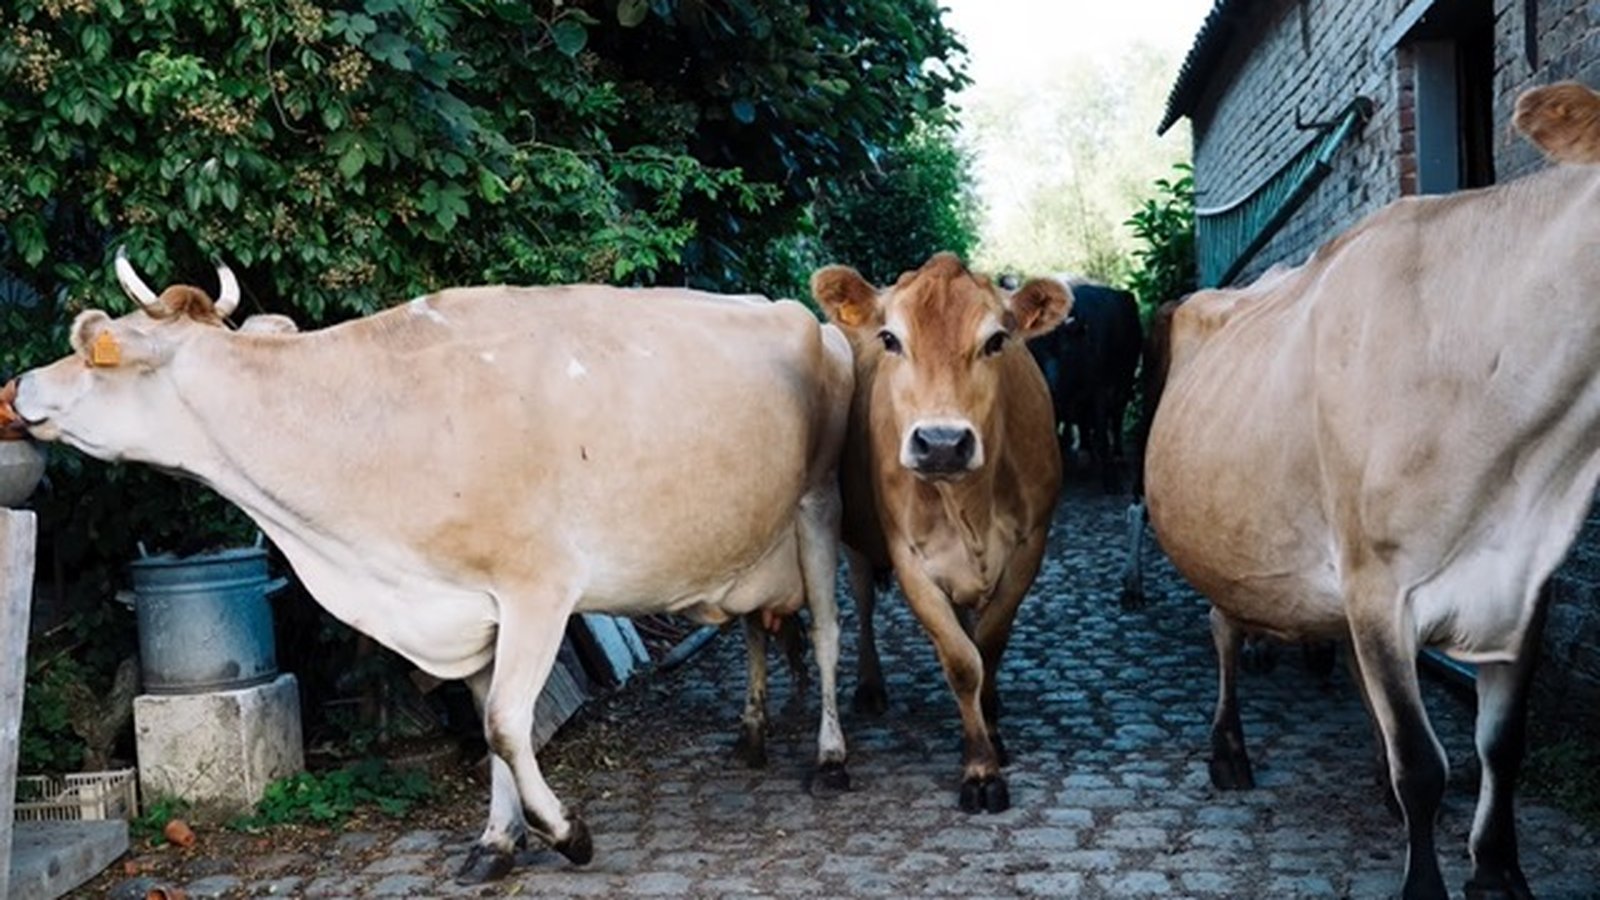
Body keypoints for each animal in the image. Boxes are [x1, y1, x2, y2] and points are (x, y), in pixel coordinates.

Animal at [0, 251, 855, 884]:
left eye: (92, 343)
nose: (15, 387)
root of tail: (805, 318)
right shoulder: (467, 604)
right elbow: (490, 726)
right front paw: (496, 843)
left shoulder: (539, 588)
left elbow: (507, 722)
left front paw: (566, 833)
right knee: (756, 630)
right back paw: (751, 734)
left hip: (818, 508)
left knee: (826, 636)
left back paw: (830, 758)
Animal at [814, 253, 1066, 813]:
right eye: (890, 339)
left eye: (996, 340)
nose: (943, 442)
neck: (969, 504)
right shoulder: (910, 560)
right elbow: (961, 661)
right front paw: (980, 770)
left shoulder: (1029, 547)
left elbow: (988, 645)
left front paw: (991, 730)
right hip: (855, 540)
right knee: (864, 602)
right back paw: (870, 687)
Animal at [1028, 282, 1142, 493]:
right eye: (1034, 351)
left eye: (1064, 349)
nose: (1048, 386)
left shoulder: (1101, 391)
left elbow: (1102, 433)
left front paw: (1111, 481)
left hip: (1125, 382)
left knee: (1116, 418)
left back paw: (1117, 455)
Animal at [1140, 81, 1600, 900]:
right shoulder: (1379, 581)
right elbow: (1423, 764)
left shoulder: (1527, 581)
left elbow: (1501, 744)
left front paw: (1498, 870)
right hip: (1228, 539)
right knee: (1225, 629)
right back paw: (1228, 752)